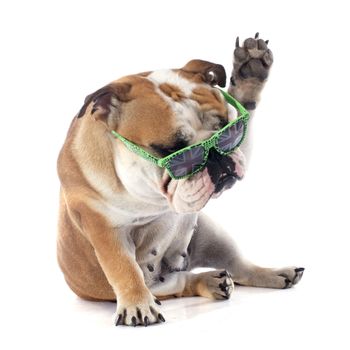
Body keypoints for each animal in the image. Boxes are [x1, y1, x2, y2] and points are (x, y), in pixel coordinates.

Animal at [56, 34, 304, 326]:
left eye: (227, 129)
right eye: (173, 152)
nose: (216, 158)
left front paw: (250, 72)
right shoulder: (103, 227)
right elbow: (123, 267)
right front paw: (137, 304)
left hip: (211, 232)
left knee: (239, 267)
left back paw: (271, 273)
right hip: (157, 283)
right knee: (180, 283)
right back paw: (208, 282)